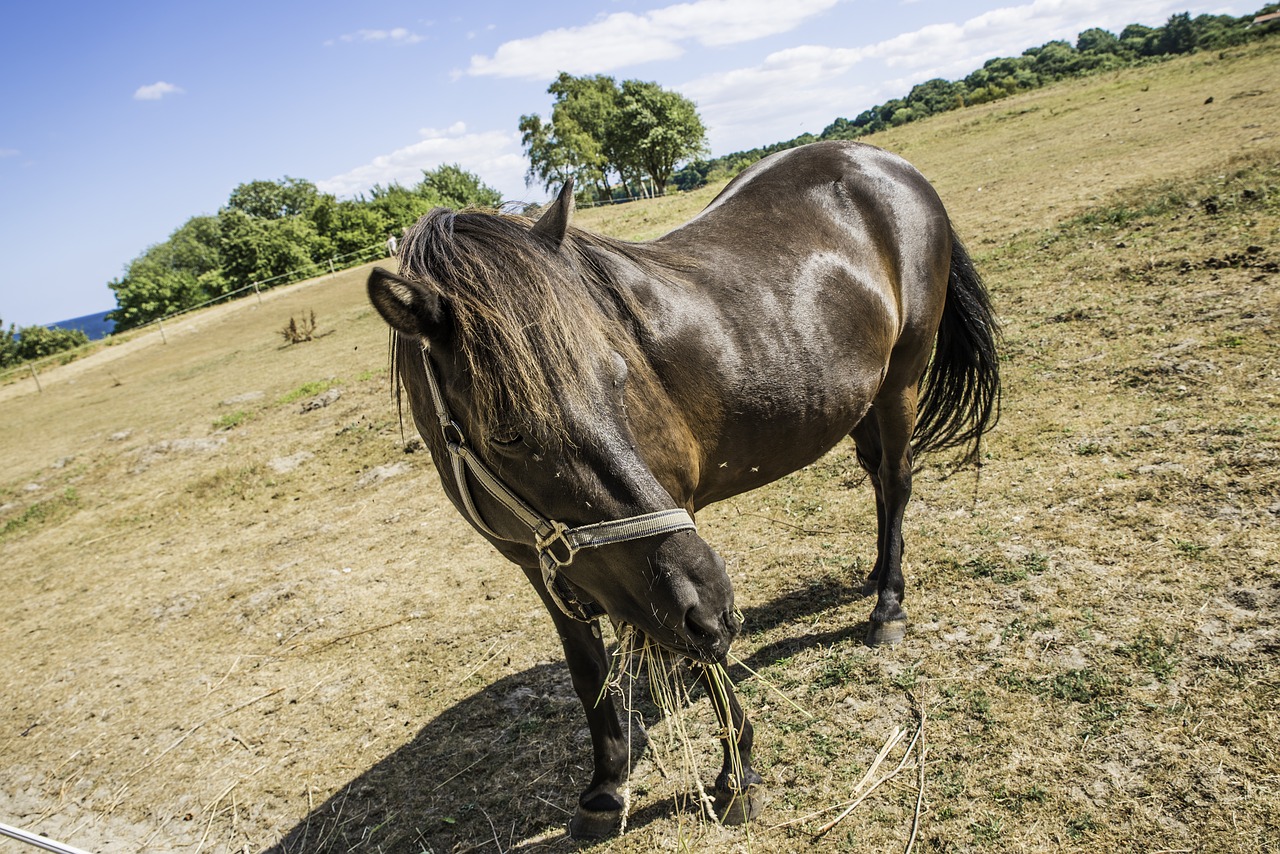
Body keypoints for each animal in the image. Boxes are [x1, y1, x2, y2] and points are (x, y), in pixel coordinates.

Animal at [363, 142, 998, 839]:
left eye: (618, 377)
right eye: (505, 431)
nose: (719, 603)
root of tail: (887, 162)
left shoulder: (676, 544)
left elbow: (705, 648)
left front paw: (737, 777)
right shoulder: (541, 563)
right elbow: (590, 671)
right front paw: (605, 788)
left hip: (901, 381)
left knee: (897, 479)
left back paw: (887, 606)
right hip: (861, 396)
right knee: (879, 479)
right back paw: (878, 574)